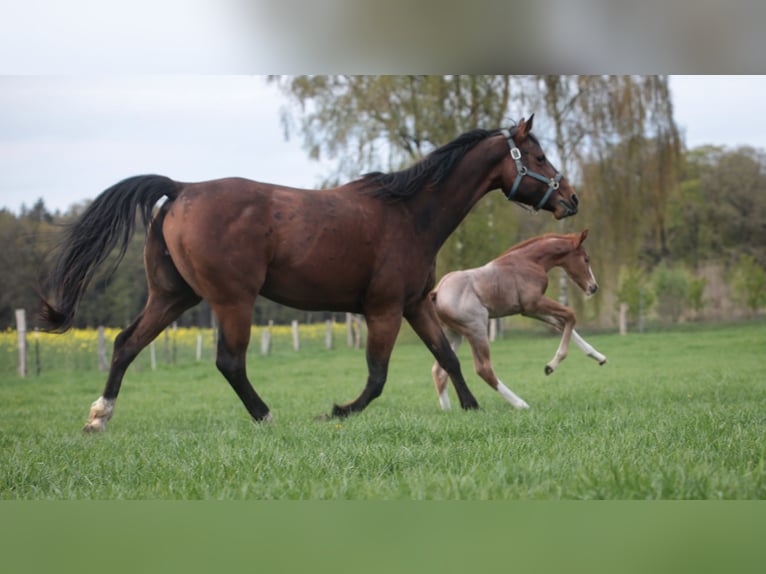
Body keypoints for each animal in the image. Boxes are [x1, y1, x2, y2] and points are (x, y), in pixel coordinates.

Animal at [38, 114, 580, 432]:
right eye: (538, 156)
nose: (571, 199)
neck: (409, 213)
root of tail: (183, 188)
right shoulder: (383, 310)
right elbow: (378, 376)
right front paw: (338, 411)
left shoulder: (412, 305)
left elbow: (447, 357)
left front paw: (472, 408)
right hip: (232, 300)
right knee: (229, 362)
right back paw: (266, 415)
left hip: (174, 297)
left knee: (126, 343)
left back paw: (99, 416)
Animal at [430, 229, 606, 411]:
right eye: (586, 259)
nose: (593, 287)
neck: (528, 262)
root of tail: (437, 292)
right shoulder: (535, 302)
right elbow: (571, 315)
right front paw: (551, 366)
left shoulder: (529, 310)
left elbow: (561, 323)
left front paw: (598, 356)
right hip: (476, 329)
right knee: (483, 369)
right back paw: (520, 404)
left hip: (453, 333)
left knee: (439, 369)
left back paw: (447, 409)